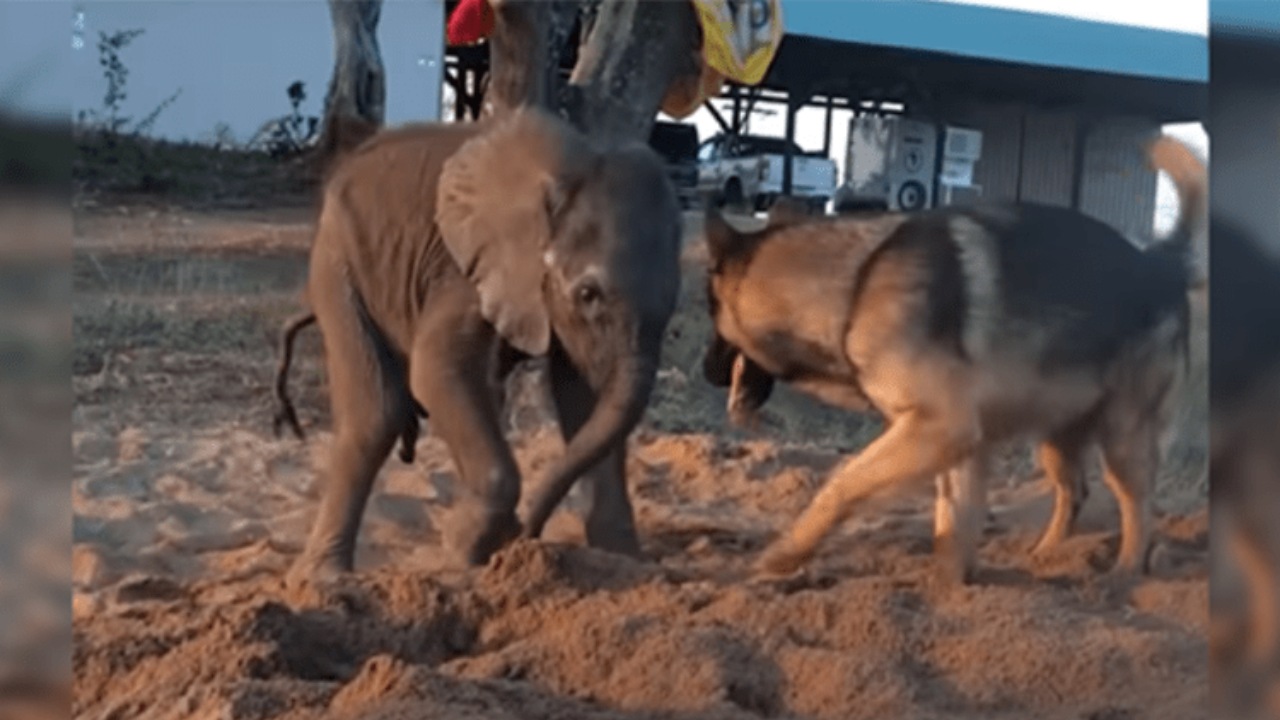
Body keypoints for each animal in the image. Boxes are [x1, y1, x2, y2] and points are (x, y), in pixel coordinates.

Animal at [291, 106, 686, 584]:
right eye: (588, 294)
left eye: (673, 303)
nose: (525, 536)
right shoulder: (464, 267)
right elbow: (434, 368)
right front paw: (462, 546)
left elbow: (586, 395)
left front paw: (624, 560)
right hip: (338, 261)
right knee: (376, 414)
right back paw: (324, 578)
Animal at [706, 135, 1203, 584]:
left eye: (714, 322)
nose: (708, 373)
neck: (854, 287)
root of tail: (1161, 263)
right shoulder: (955, 442)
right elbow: (953, 521)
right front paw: (951, 590)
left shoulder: (941, 428)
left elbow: (842, 483)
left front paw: (786, 554)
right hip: (1057, 436)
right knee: (1075, 492)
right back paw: (1044, 555)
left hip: (1123, 438)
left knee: (1139, 508)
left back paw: (1123, 575)